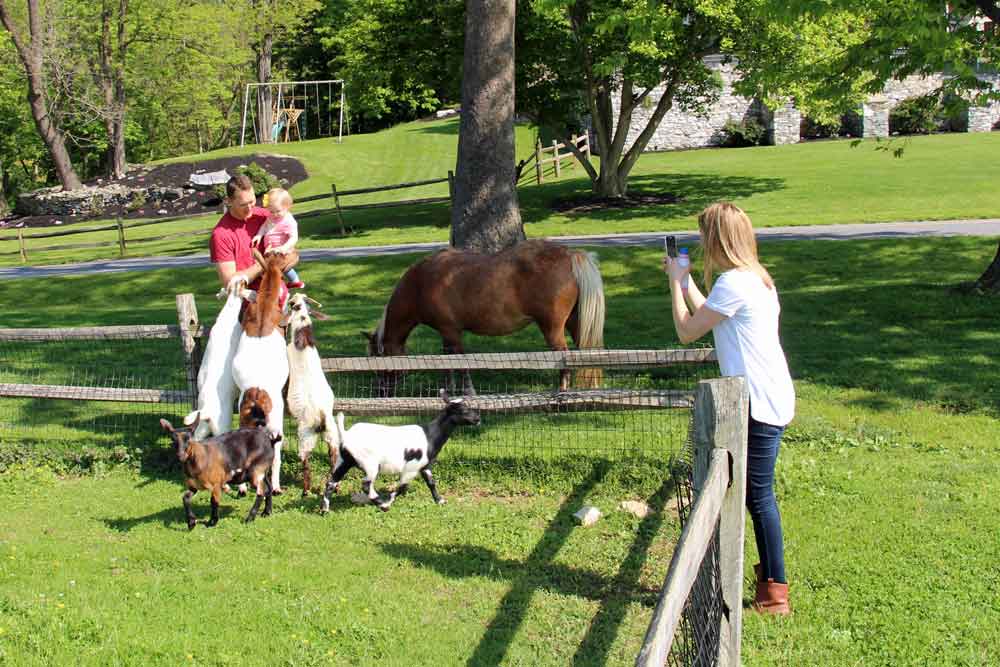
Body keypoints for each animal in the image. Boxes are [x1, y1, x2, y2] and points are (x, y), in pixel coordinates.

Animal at [286, 292, 340, 496]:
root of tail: (322, 417)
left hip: (305, 436)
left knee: (306, 462)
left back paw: (305, 491)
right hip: (333, 434)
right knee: (334, 458)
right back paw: (335, 487)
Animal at [318, 388, 478, 516]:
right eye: (463, 410)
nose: (477, 419)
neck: (430, 435)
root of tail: (346, 435)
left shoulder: (425, 466)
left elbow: (431, 483)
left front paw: (440, 501)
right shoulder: (411, 468)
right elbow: (402, 487)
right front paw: (388, 502)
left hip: (344, 461)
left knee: (331, 482)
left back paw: (325, 510)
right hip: (370, 464)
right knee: (366, 485)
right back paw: (381, 504)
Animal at [364, 240, 604, 394]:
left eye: (378, 359)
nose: (381, 392)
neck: (421, 283)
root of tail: (570, 255)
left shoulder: (452, 332)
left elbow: (460, 363)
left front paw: (468, 392)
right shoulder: (446, 334)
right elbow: (447, 363)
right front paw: (447, 390)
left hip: (552, 329)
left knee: (564, 356)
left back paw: (562, 391)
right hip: (575, 324)